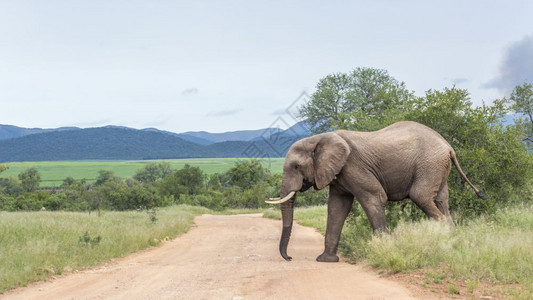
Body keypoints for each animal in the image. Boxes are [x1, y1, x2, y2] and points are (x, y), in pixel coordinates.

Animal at [266, 120, 482, 262]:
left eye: (296, 166)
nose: (290, 258)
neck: (319, 138)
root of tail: (449, 147)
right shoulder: (339, 174)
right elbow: (337, 207)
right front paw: (325, 260)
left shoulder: (353, 166)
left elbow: (375, 197)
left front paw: (385, 251)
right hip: (438, 168)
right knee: (441, 201)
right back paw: (453, 241)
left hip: (430, 165)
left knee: (421, 196)